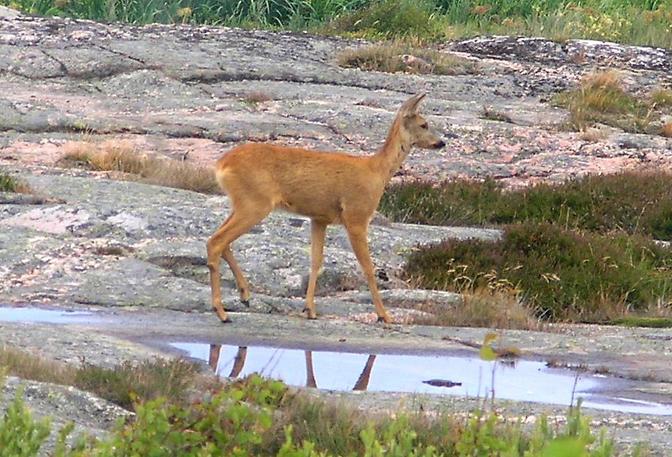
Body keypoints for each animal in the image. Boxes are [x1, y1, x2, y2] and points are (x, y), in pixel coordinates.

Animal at [207, 92, 444, 322]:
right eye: (424, 124)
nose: (441, 143)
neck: (376, 171)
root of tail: (221, 165)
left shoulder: (319, 218)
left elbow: (316, 261)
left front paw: (309, 309)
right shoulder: (356, 215)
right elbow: (368, 267)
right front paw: (384, 315)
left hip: (242, 203)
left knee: (220, 240)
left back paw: (244, 295)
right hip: (255, 203)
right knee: (216, 241)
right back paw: (221, 311)